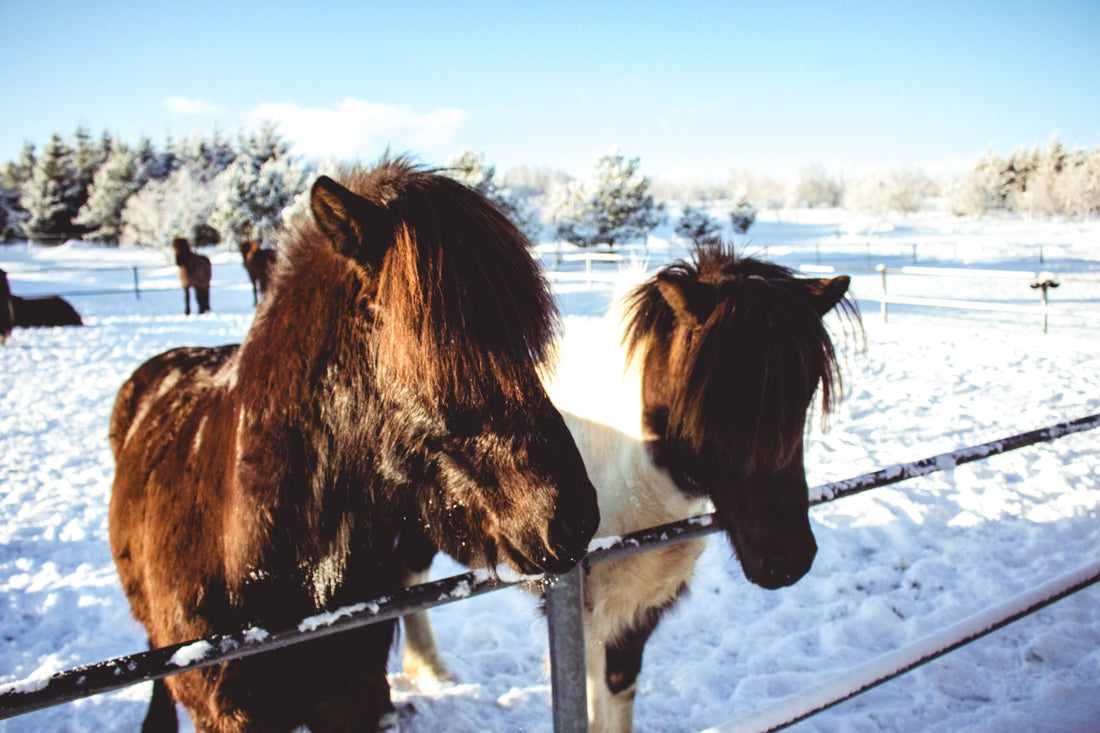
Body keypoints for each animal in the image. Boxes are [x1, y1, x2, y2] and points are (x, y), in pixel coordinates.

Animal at [399, 242, 859, 731]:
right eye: (712, 396)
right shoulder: (581, 613)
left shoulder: (636, 611)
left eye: (807, 389)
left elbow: (619, 690)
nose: (788, 560)